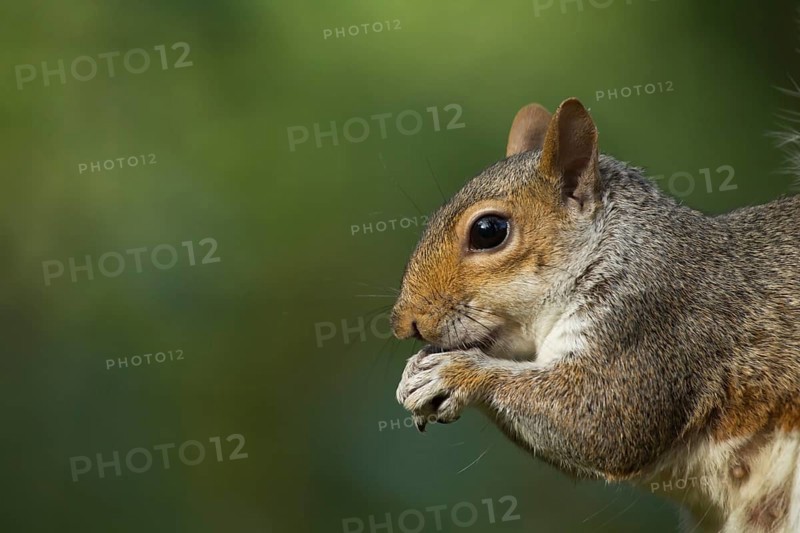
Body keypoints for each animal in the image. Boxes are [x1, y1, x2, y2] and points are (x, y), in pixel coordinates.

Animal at [391, 97, 800, 533]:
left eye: (489, 230)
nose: (403, 323)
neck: (611, 249)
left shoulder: (651, 320)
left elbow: (598, 423)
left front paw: (453, 373)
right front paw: (413, 371)